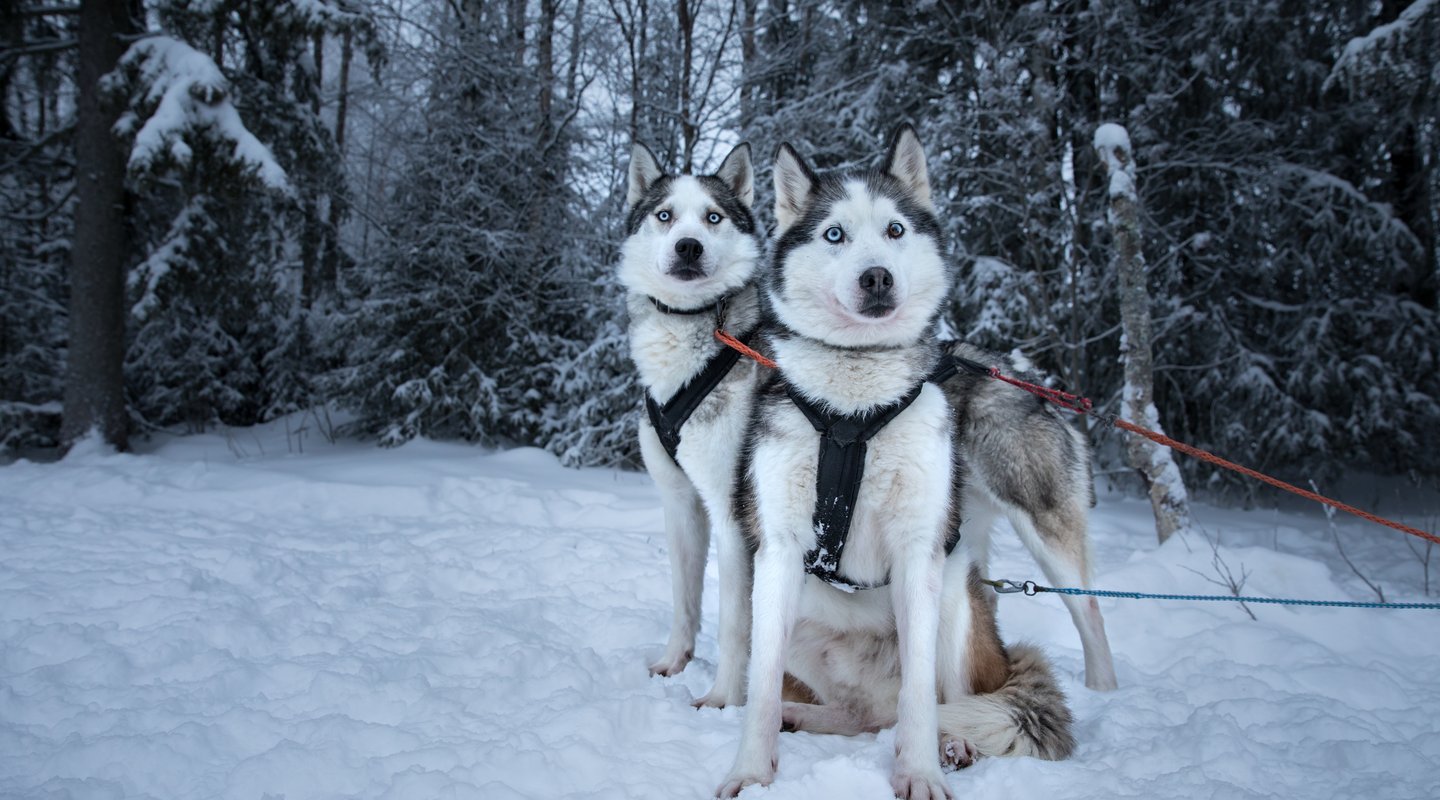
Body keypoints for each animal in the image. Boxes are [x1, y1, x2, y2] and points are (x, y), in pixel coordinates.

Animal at [624, 142, 771, 705]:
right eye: (665, 216)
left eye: (712, 217)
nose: (688, 246)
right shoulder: (680, 503)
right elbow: (685, 599)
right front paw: (674, 662)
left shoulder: (734, 516)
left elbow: (735, 621)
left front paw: (724, 700)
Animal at [720, 128, 1071, 794]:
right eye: (835, 234)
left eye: (895, 230)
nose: (877, 277)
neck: (853, 411)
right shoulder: (777, 548)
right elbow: (760, 686)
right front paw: (751, 772)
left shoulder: (918, 547)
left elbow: (919, 699)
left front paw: (921, 773)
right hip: (789, 616)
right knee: (860, 714)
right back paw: (806, 716)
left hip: (956, 602)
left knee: (932, 700)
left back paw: (953, 744)